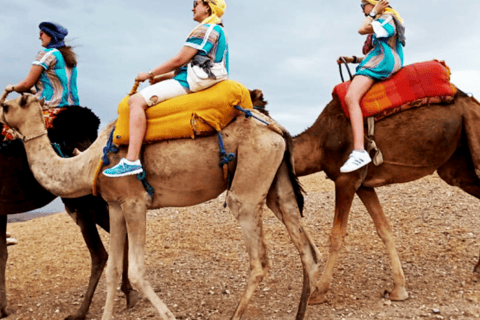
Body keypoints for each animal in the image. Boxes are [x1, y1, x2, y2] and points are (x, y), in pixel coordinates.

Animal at [0, 90, 322, 320]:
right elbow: (114, 270)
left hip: (250, 179)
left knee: (258, 259)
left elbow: (136, 271)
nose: (1, 120)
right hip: (276, 180)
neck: (88, 162)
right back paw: (300, 314)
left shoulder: (135, 202)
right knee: (305, 245)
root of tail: (277, 127)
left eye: (9, 105)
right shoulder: (115, 206)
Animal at [284, 89, 480, 304]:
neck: (319, 142)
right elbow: (384, 229)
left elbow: (336, 236)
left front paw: (319, 291)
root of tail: (472, 102)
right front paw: (398, 289)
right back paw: (477, 269)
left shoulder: (345, 179)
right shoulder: (363, 185)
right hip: (456, 163)